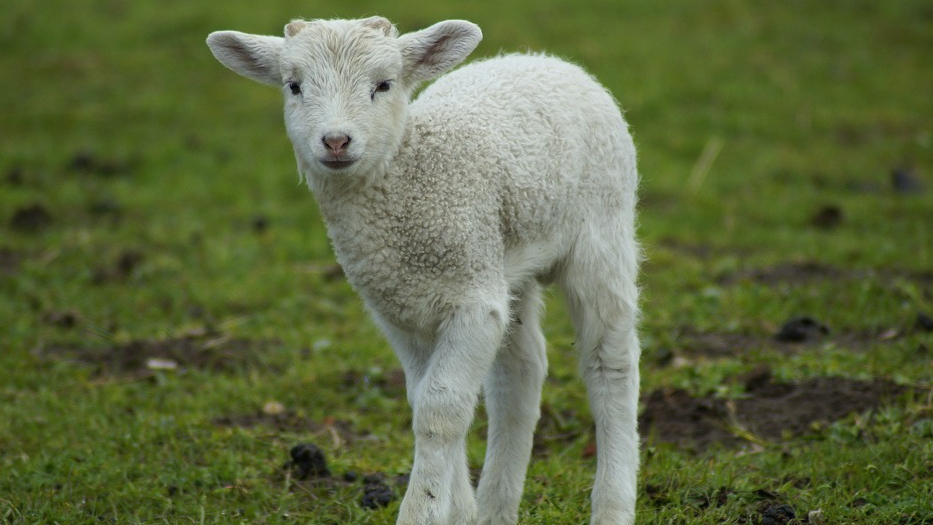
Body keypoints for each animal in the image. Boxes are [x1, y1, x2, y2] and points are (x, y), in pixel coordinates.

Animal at [206, 16, 641, 525]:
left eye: (383, 85)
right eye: (294, 86)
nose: (335, 141)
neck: (406, 180)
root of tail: (547, 60)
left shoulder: (472, 301)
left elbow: (440, 409)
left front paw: (424, 508)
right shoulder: (401, 308)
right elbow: (425, 399)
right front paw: (459, 509)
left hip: (601, 233)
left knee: (609, 361)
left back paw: (612, 504)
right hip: (505, 261)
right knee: (520, 372)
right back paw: (494, 509)